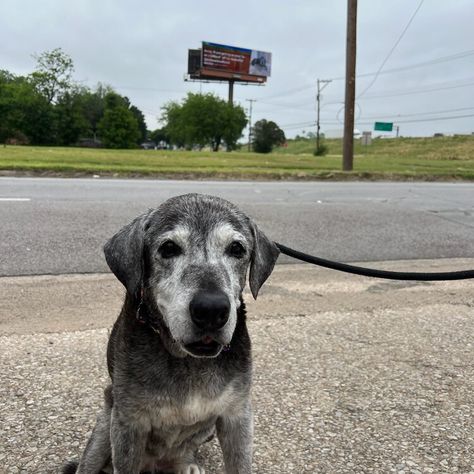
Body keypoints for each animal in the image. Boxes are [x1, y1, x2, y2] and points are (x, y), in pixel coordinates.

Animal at [61, 193, 280, 474]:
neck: (188, 362)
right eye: (168, 248)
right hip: (105, 424)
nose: (211, 310)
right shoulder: (128, 423)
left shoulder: (237, 415)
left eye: (237, 249)